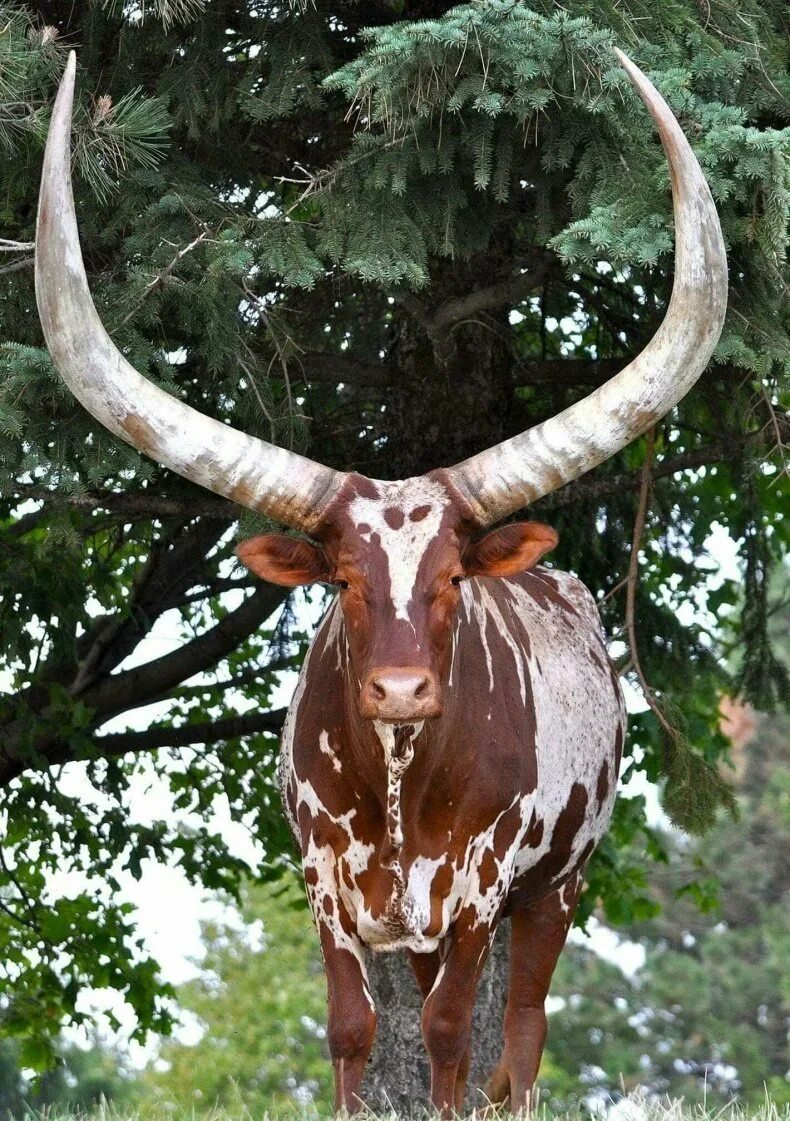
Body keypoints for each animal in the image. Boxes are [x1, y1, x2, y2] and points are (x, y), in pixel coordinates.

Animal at [36, 50, 726, 1112]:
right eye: (345, 581)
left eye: (450, 580)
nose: (401, 689)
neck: (401, 776)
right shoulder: (327, 885)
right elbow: (353, 1029)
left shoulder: (481, 889)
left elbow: (448, 1034)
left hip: (557, 885)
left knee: (521, 1032)